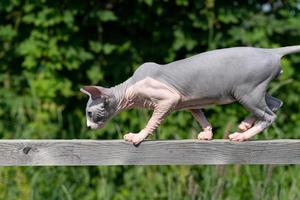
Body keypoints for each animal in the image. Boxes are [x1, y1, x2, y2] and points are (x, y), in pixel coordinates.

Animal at [80, 46, 300, 145]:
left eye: (90, 114)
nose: (89, 127)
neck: (128, 89)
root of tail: (271, 51)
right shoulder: (188, 102)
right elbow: (201, 117)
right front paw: (207, 134)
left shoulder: (169, 98)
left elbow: (152, 122)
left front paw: (137, 136)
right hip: (253, 91)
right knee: (276, 102)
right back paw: (245, 124)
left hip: (246, 92)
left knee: (270, 115)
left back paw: (241, 135)